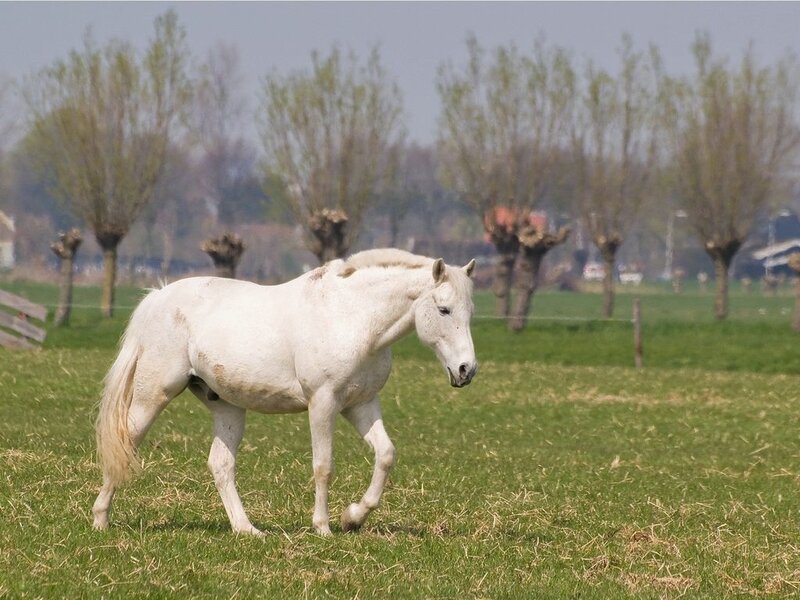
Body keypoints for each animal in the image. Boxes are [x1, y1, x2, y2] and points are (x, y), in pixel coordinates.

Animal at [92, 248, 478, 536]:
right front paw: (323, 527)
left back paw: (247, 529)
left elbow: (385, 454)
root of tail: (158, 297)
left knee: (221, 464)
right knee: (125, 442)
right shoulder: (323, 403)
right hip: (154, 395)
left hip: (227, 406)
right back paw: (100, 519)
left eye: (469, 311)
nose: (466, 370)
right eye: (443, 309)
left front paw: (353, 517)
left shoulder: (361, 404)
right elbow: (323, 465)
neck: (352, 318)